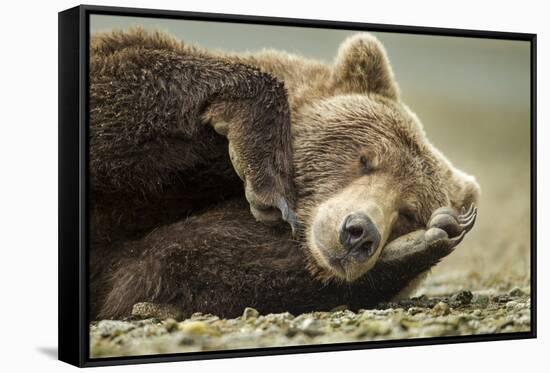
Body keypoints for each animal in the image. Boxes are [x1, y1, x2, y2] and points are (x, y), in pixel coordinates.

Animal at [88, 29, 480, 320]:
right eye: (365, 159)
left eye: (409, 212)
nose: (359, 232)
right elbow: (122, 74)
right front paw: (265, 180)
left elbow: (159, 268)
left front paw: (419, 244)